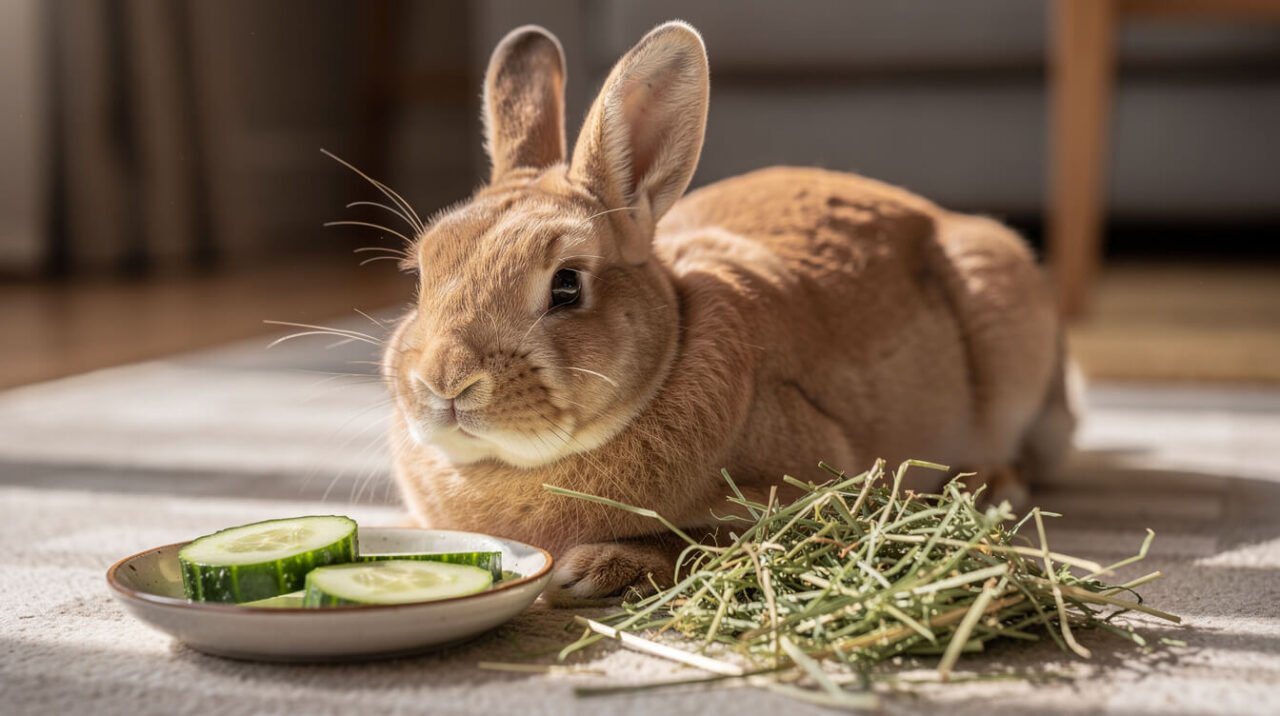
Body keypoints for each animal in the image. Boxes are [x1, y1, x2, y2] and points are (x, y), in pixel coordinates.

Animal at [383, 21, 1076, 606]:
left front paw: (597, 570)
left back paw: (991, 485)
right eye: (421, 276)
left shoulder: (813, 488)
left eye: (567, 286)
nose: (445, 383)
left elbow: (709, 538)